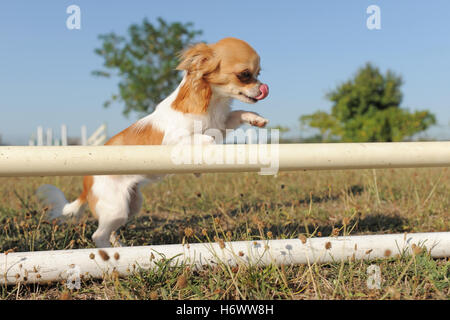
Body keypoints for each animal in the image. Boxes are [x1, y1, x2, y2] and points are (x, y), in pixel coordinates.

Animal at [37, 37, 268, 248]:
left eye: (258, 74)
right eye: (245, 74)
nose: (263, 88)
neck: (213, 103)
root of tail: (86, 184)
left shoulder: (220, 125)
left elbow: (234, 115)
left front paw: (255, 118)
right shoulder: (174, 140)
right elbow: (203, 138)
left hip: (131, 205)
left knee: (111, 232)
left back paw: (119, 247)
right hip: (116, 207)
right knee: (98, 236)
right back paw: (109, 254)